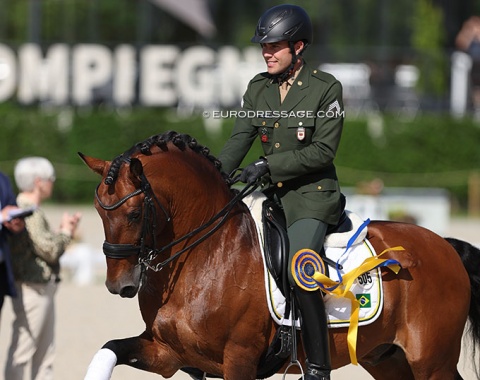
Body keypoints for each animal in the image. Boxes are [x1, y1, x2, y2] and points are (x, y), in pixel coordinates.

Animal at [80, 131, 480, 380]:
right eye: (99, 212)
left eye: (134, 214)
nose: (119, 285)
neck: (205, 258)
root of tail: (445, 245)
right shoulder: (167, 353)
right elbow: (108, 349)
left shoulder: (239, 359)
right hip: (386, 358)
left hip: (430, 362)